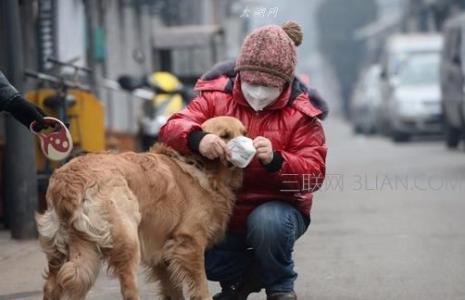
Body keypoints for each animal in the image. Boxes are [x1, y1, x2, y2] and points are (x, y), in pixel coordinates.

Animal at [35, 116, 245, 298]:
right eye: (225, 136)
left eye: (243, 132)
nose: (249, 141)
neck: (199, 165)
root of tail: (68, 181)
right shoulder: (189, 243)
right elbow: (201, 288)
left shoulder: (163, 255)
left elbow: (173, 292)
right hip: (127, 241)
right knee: (128, 289)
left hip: (64, 249)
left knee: (53, 285)